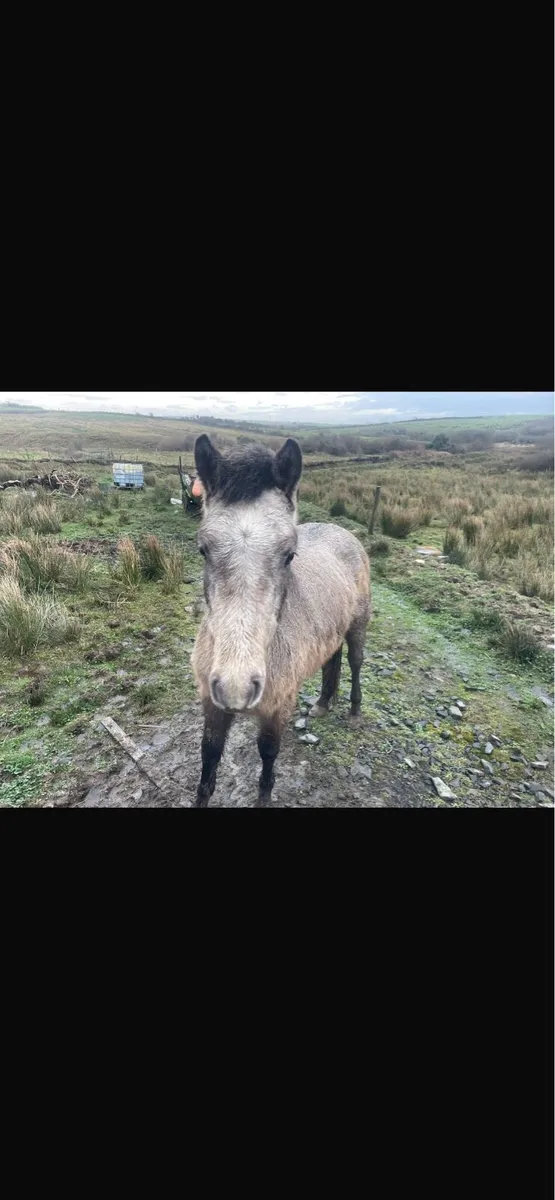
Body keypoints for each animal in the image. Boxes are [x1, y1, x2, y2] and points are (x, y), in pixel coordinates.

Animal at [191, 435, 371, 806]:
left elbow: (268, 755)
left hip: (358, 627)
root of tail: (342, 531)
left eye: (289, 554)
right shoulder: (212, 705)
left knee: (356, 662)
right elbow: (208, 761)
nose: (236, 687)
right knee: (332, 661)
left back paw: (354, 711)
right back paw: (322, 704)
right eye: (203, 549)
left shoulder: (276, 710)